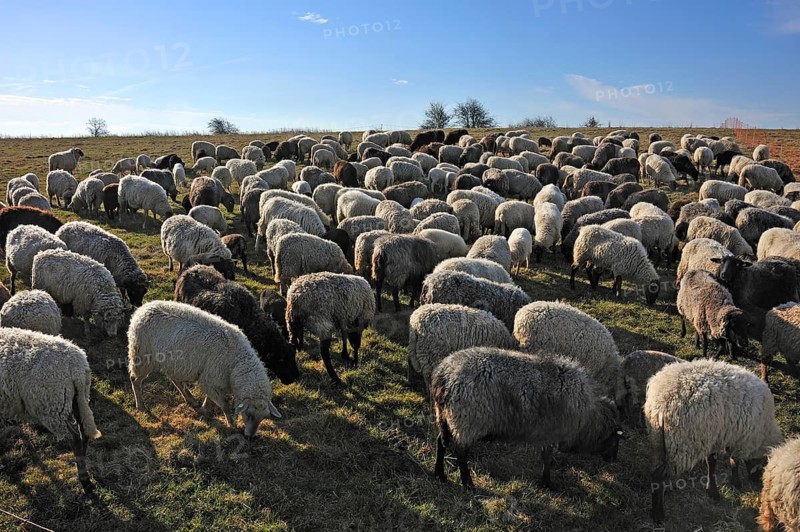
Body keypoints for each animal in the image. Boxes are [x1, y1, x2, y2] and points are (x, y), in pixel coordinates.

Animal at [0, 328, 101, 495]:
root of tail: (76, 368)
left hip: (53, 405)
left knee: (74, 438)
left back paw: (84, 480)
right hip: (78, 398)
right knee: (84, 432)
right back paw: (83, 468)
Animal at [127, 300, 281, 435]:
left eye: (263, 418)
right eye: (248, 414)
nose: (249, 436)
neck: (237, 362)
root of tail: (141, 309)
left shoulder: (211, 380)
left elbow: (210, 398)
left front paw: (204, 409)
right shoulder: (211, 379)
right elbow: (224, 404)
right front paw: (231, 424)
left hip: (170, 362)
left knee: (174, 379)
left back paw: (190, 399)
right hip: (142, 356)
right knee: (135, 379)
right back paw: (141, 406)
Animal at [431, 347, 621, 488]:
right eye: (615, 437)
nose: (614, 460)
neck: (590, 416)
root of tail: (444, 374)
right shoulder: (552, 431)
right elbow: (547, 457)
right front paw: (546, 483)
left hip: (444, 415)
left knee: (441, 442)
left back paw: (439, 474)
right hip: (467, 419)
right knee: (461, 452)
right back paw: (467, 483)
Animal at [646, 358, 783, 523]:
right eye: (764, 465)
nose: (756, 482)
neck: (762, 432)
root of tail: (660, 403)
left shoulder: (716, 435)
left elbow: (712, 462)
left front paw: (712, 489)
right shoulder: (739, 437)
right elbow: (734, 461)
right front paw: (735, 483)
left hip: (658, 441)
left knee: (654, 472)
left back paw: (658, 503)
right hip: (682, 444)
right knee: (661, 475)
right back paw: (659, 514)